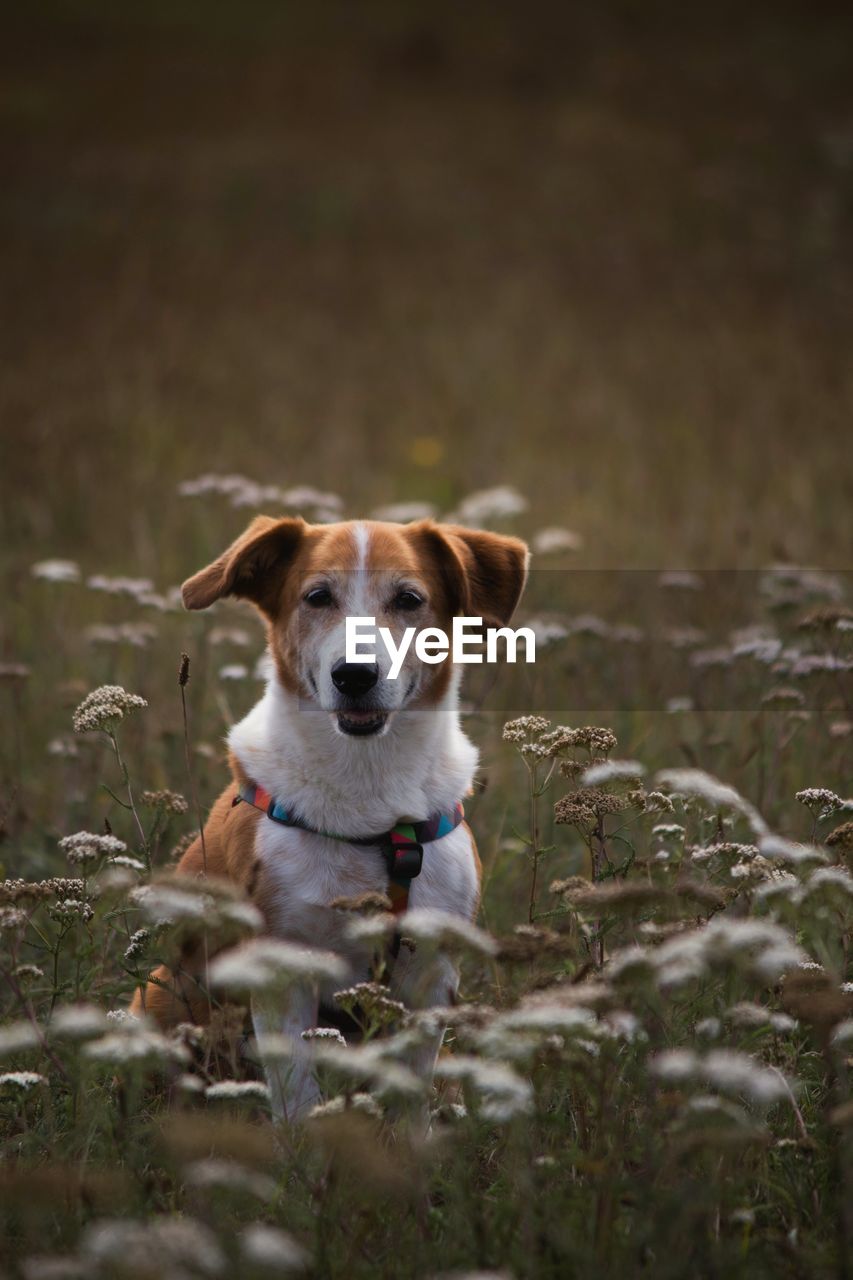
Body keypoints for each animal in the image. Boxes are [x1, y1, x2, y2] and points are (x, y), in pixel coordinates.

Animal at [131, 514, 525, 1116]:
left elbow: (407, 1107)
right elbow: (299, 1101)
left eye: (409, 599)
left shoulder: (432, 976)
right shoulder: (280, 972)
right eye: (317, 596)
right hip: (157, 996)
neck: (368, 796)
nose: (355, 674)